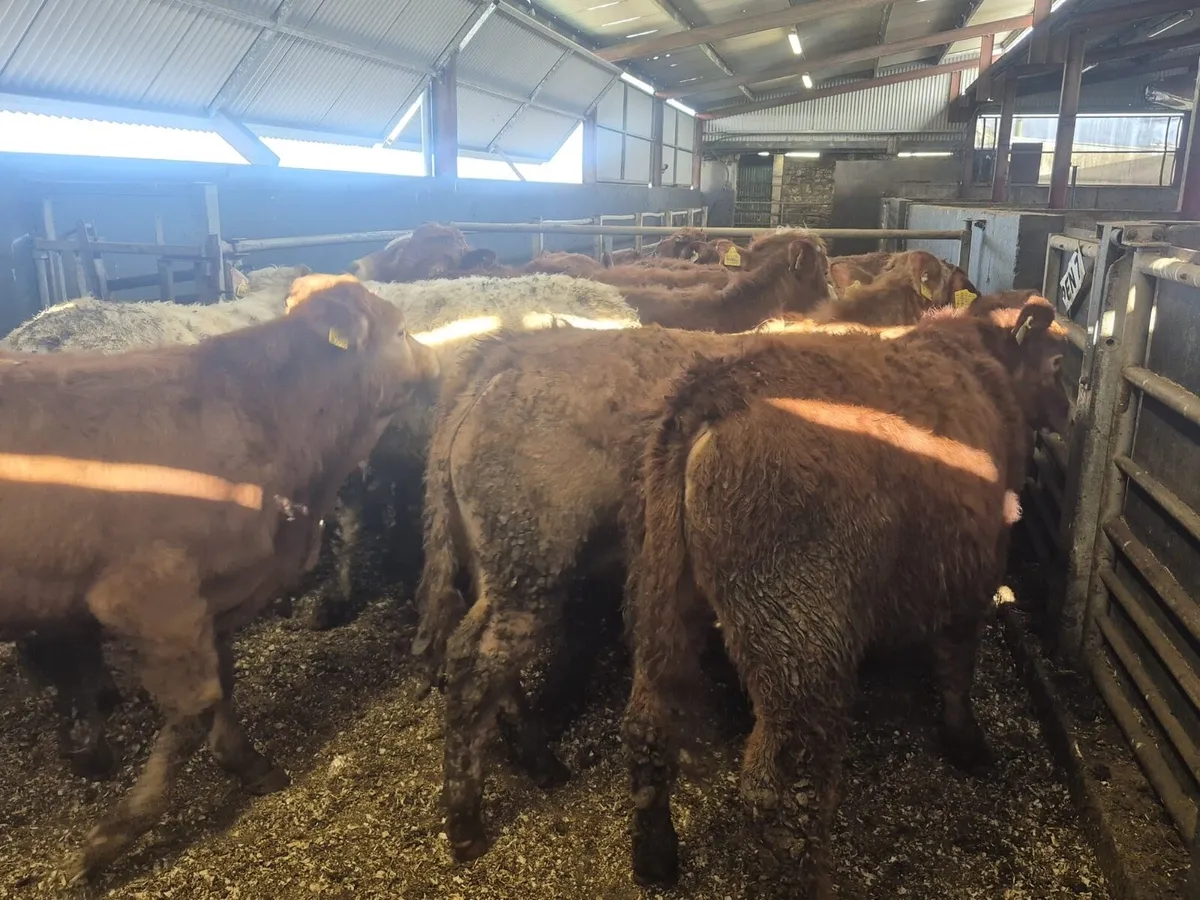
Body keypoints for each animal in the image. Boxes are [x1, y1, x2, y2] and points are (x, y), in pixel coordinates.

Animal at [0, 273, 439, 880]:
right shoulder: (150, 594)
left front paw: (247, 762)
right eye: (400, 331)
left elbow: (224, 681)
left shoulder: (218, 594)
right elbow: (195, 703)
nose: (439, 365)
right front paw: (112, 836)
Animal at [620, 297, 1069, 897]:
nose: (1069, 416)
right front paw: (966, 742)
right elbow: (957, 665)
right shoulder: (971, 571)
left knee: (647, 726)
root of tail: (715, 391)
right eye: (1058, 364)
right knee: (783, 792)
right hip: (799, 637)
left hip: (661, 597)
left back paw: (655, 855)